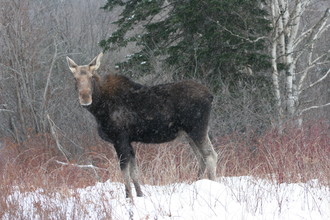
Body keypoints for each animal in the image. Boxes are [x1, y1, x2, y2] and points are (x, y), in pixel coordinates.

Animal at [65, 52, 218, 198]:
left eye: (91, 77)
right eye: (75, 78)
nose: (85, 98)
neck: (98, 109)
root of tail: (210, 96)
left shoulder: (119, 138)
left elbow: (125, 171)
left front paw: (129, 198)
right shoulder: (128, 141)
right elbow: (134, 172)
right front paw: (139, 195)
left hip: (197, 129)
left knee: (210, 155)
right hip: (189, 134)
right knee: (201, 158)